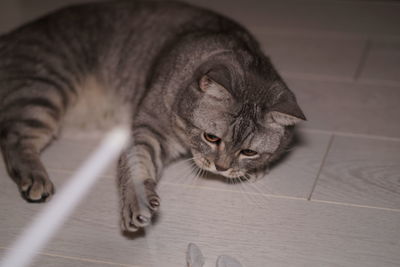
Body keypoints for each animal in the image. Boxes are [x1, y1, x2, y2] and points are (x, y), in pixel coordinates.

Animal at [0, 0, 306, 232]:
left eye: (249, 152)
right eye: (211, 137)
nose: (220, 168)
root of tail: (9, 36)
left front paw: (253, 170)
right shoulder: (148, 128)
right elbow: (136, 165)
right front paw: (137, 205)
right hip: (46, 88)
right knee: (14, 138)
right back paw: (35, 179)